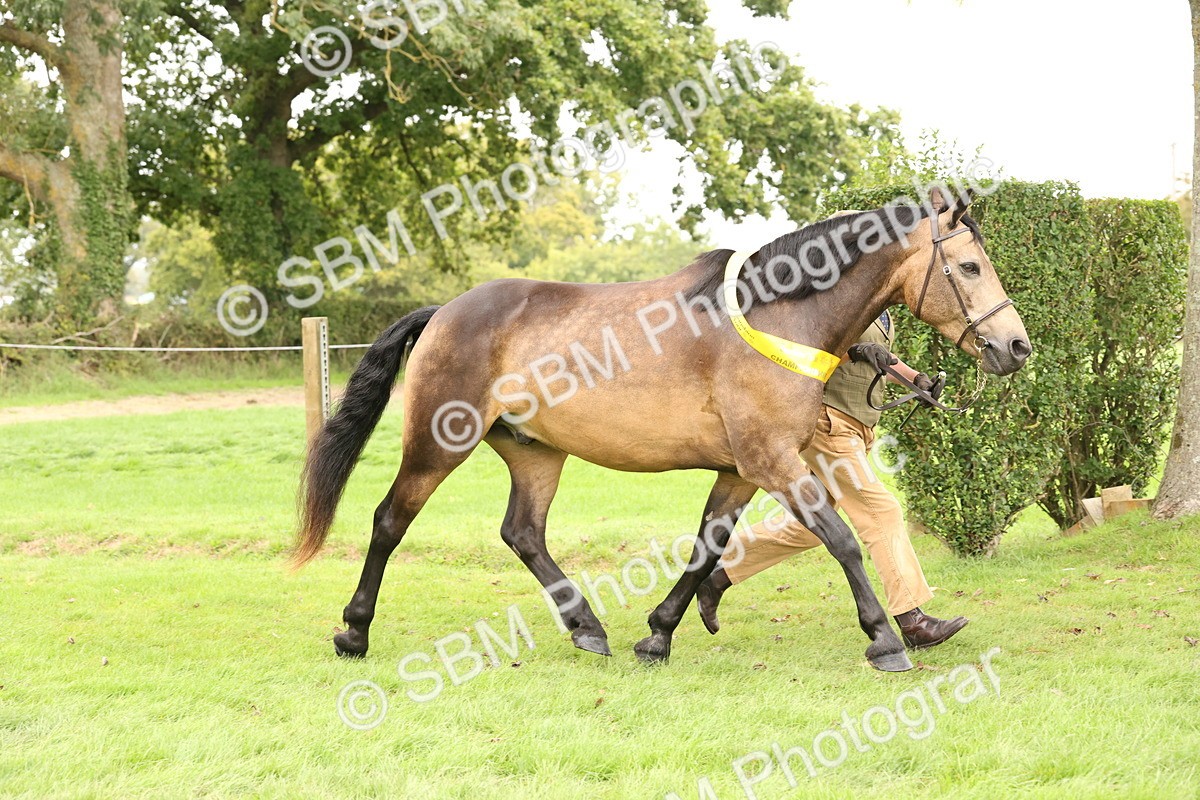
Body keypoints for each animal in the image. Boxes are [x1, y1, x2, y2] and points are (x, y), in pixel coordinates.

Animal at [291, 188, 1031, 672]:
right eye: (969, 266)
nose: (1016, 347)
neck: (776, 316)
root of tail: (446, 310)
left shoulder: (740, 471)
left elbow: (706, 548)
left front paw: (659, 632)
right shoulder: (774, 463)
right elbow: (844, 539)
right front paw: (884, 639)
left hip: (536, 453)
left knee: (523, 533)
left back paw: (588, 627)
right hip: (439, 441)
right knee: (390, 520)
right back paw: (353, 633)